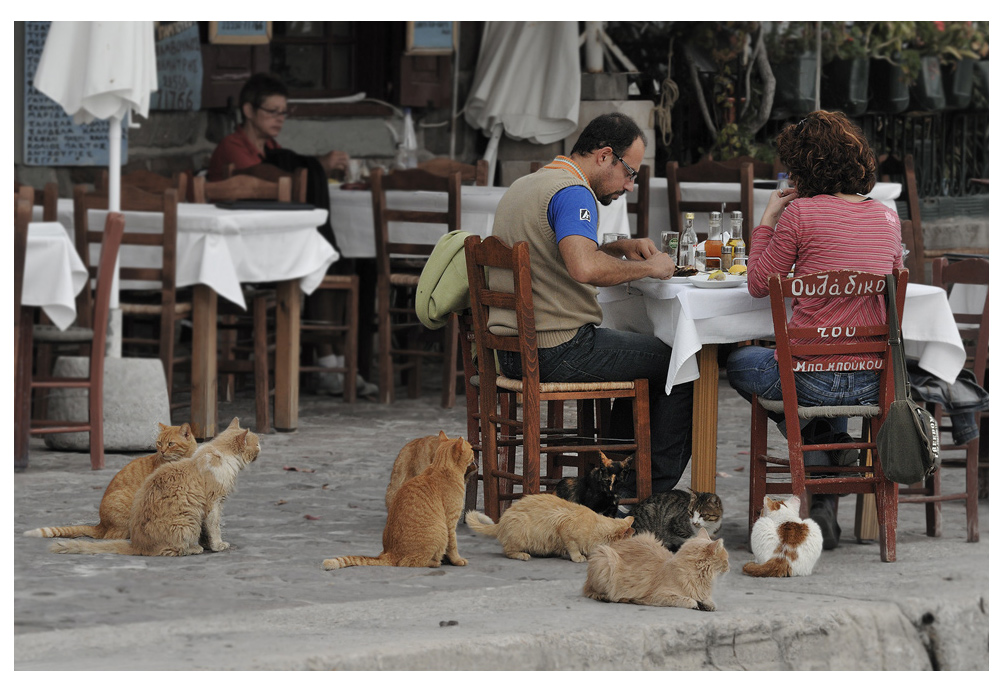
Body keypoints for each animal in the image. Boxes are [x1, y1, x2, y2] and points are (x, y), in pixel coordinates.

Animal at [49, 417, 258, 557]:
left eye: (170, 444)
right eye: (257, 443)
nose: (261, 447)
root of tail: (138, 544)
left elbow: (206, 531)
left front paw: (208, 544)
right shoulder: (214, 504)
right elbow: (214, 529)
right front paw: (216, 545)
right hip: (187, 520)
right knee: (170, 549)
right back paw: (193, 548)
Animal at [322, 437, 475, 573]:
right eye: (472, 449)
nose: (475, 454)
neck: (440, 467)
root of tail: (389, 553)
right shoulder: (450, 523)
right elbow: (453, 545)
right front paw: (457, 560)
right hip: (440, 529)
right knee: (410, 562)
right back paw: (434, 562)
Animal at [463, 493, 633, 565]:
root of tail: (501, 522)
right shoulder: (563, 525)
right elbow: (572, 547)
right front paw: (578, 556)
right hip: (521, 531)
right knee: (508, 551)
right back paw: (522, 555)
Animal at [581, 529, 730, 609]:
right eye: (726, 559)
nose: (730, 567)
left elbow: (709, 601)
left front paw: (707, 604)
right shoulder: (658, 596)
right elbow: (688, 600)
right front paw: (695, 603)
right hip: (604, 558)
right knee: (595, 592)